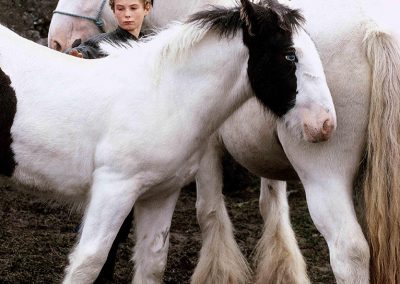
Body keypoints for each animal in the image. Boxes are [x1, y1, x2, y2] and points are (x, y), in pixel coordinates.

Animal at [49, 0, 400, 284]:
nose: (59, 41)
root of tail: (376, 29)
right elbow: (272, 207)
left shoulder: (206, 149)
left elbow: (208, 212)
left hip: (323, 176)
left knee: (349, 251)